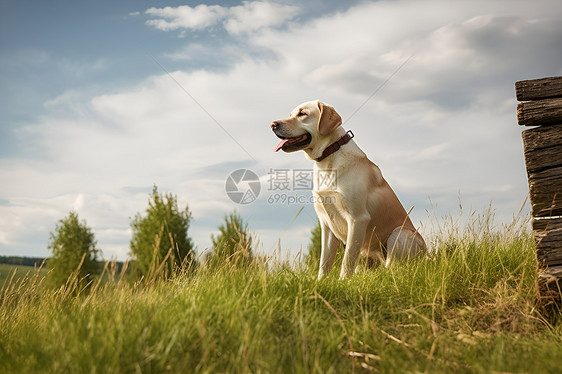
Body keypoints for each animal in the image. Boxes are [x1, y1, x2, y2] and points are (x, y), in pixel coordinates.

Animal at [272, 101, 424, 280]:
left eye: (302, 114)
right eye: (290, 114)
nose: (273, 124)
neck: (329, 156)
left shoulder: (357, 219)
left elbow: (347, 259)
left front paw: (343, 281)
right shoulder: (326, 224)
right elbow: (324, 262)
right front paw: (321, 282)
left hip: (399, 234)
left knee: (393, 267)